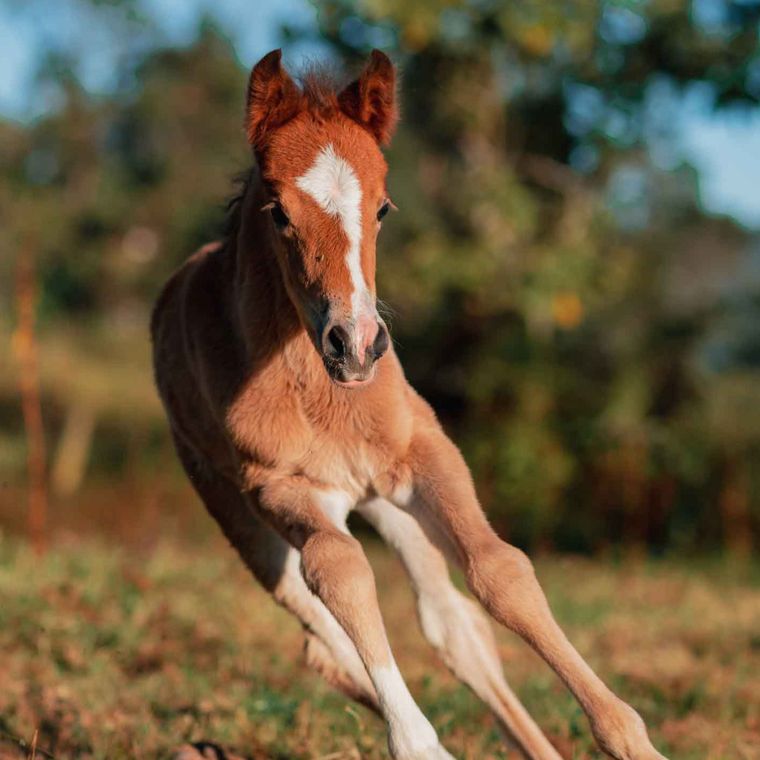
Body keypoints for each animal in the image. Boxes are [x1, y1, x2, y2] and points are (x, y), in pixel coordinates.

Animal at [151, 49, 666, 760]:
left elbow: (502, 573)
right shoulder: (279, 489)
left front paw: (629, 736)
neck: (324, 392)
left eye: (384, 209)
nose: (356, 345)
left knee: (453, 624)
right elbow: (342, 573)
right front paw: (419, 742)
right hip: (237, 513)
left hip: (387, 506)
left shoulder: (424, 452)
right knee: (320, 634)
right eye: (279, 212)